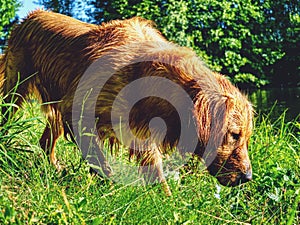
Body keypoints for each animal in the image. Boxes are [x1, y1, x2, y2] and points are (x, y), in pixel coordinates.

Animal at [0, 10, 253, 195]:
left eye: (246, 136)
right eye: (234, 134)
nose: (247, 177)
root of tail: (30, 15)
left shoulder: (140, 129)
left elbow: (154, 167)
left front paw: (166, 201)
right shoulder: (78, 110)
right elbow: (100, 159)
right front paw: (109, 187)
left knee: (45, 141)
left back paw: (54, 167)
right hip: (15, 89)